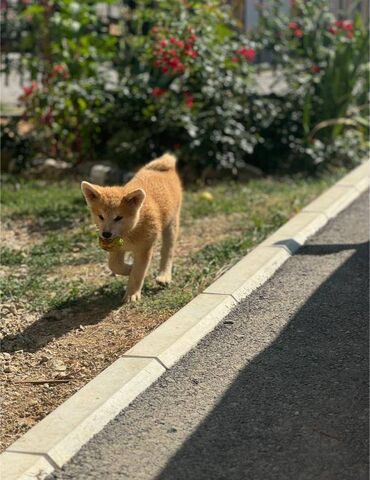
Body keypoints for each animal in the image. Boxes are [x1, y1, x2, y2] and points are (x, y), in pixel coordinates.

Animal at [82, 153, 184, 304]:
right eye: (101, 216)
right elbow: (114, 265)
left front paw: (132, 294)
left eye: (118, 217)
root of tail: (164, 167)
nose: (106, 234)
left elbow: (137, 273)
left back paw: (164, 276)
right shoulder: (117, 248)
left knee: (167, 252)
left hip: (171, 224)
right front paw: (129, 269)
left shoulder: (144, 249)